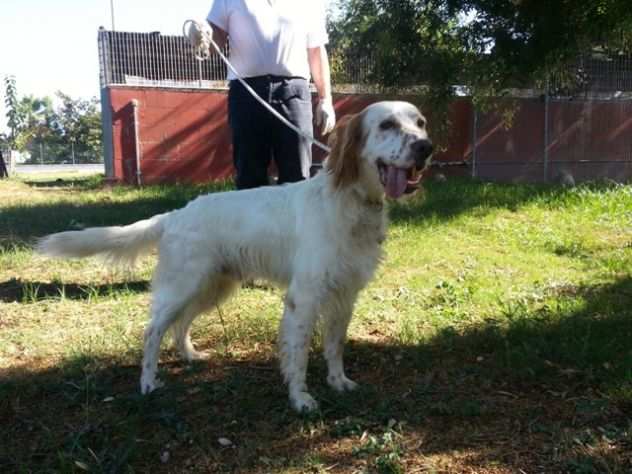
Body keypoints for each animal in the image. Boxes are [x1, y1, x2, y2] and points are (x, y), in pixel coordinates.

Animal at [38, 102, 434, 412]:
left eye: (420, 122)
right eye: (386, 125)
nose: (426, 147)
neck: (350, 203)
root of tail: (174, 215)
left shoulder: (345, 296)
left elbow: (334, 347)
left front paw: (339, 382)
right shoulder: (304, 299)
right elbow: (299, 355)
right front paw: (301, 399)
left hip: (213, 287)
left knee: (181, 325)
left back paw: (190, 357)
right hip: (183, 287)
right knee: (153, 331)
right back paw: (148, 383)